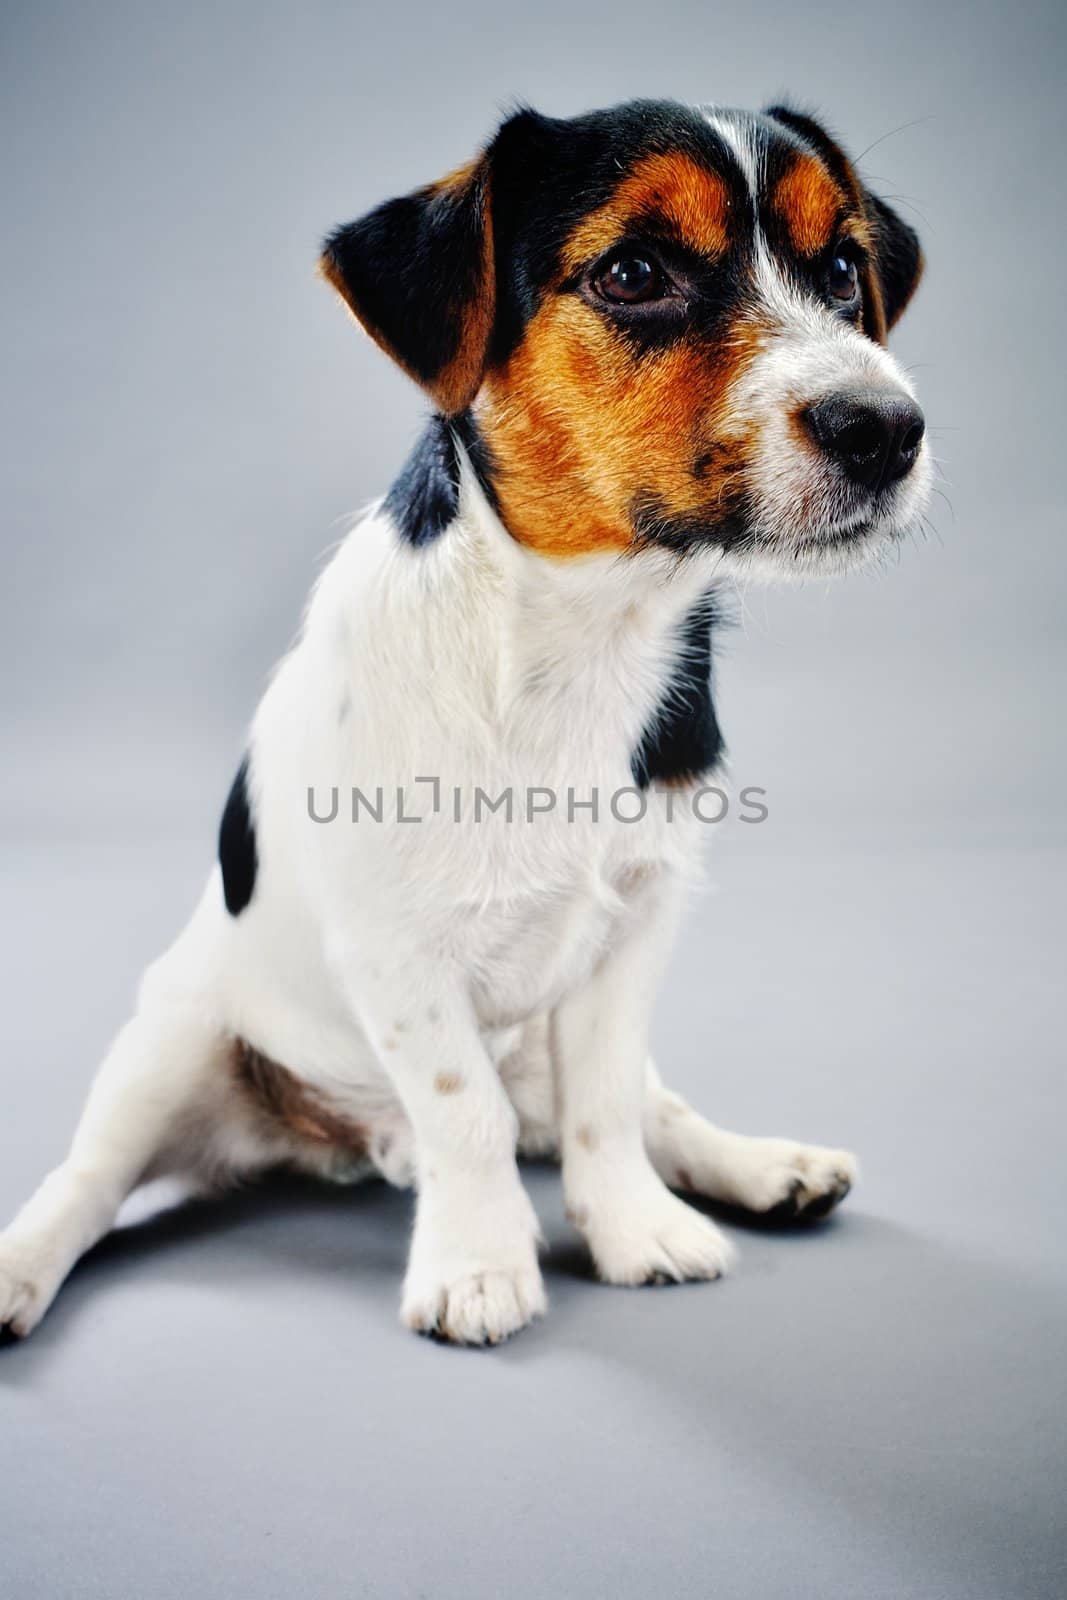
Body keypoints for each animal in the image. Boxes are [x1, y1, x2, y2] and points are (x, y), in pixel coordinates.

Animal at [0, 100, 927, 1344]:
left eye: (839, 270)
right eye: (632, 272)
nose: (886, 428)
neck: (577, 637)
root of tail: (350, 1143)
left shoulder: (635, 922)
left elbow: (603, 1106)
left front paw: (633, 1231)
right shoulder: (395, 954)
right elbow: (463, 1112)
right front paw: (480, 1265)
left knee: (646, 1103)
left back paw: (763, 1164)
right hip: (168, 1041)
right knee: (89, 1179)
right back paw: (19, 1266)